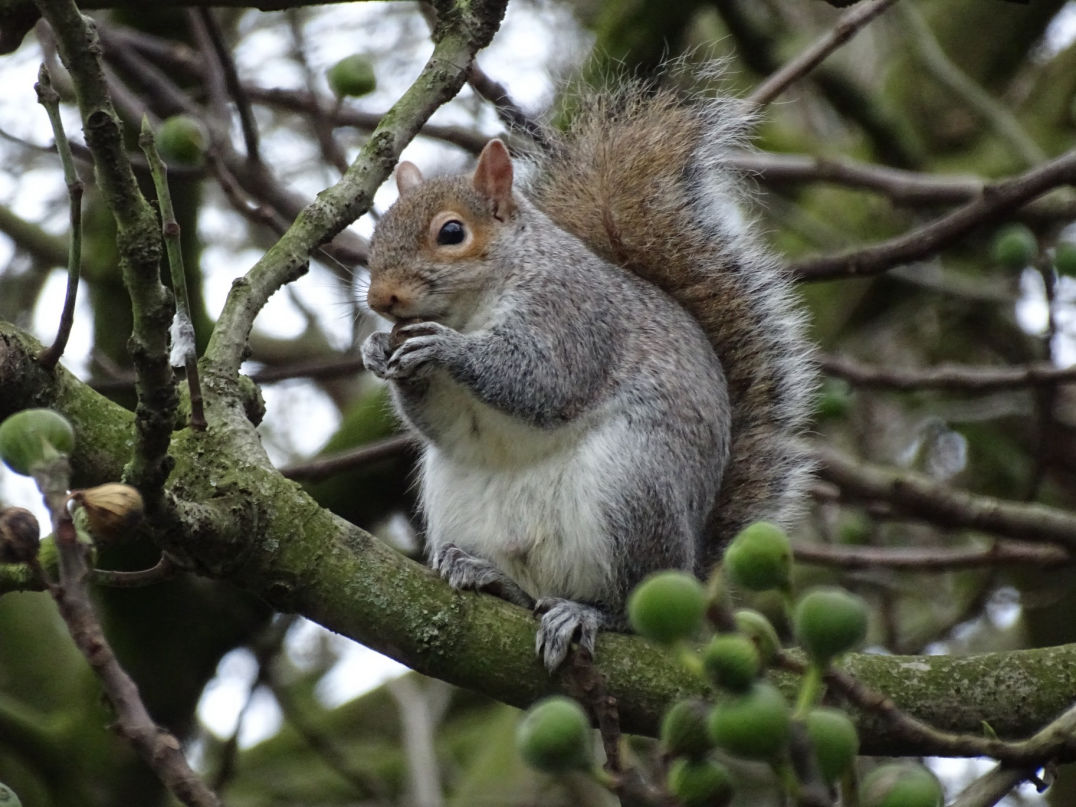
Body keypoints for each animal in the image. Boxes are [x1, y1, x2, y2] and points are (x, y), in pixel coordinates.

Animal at [361, 78, 815, 670]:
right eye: (374, 237)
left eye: (452, 232)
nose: (380, 299)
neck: (473, 306)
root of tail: (691, 570)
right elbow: (441, 420)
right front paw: (376, 350)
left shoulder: (574, 315)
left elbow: (543, 380)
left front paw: (447, 348)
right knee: (525, 589)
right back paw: (484, 574)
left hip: (632, 489)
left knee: (626, 606)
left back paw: (585, 613)